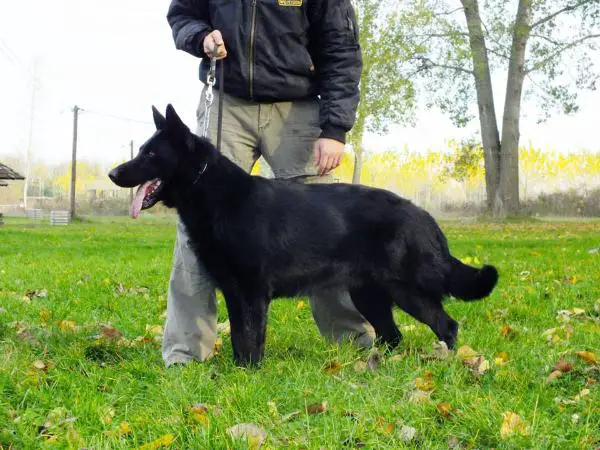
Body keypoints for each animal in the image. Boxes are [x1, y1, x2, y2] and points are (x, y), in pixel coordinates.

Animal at [106, 104, 496, 366]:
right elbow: (238, 337)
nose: (112, 174)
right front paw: (237, 372)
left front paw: (249, 375)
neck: (212, 191)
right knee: (393, 335)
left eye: (151, 154)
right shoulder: (234, 291)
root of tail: (423, 216)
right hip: (369, 295)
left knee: (447, 325)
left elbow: (251, 339)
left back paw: (450, 364)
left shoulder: (252, 293)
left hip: (407, 292)